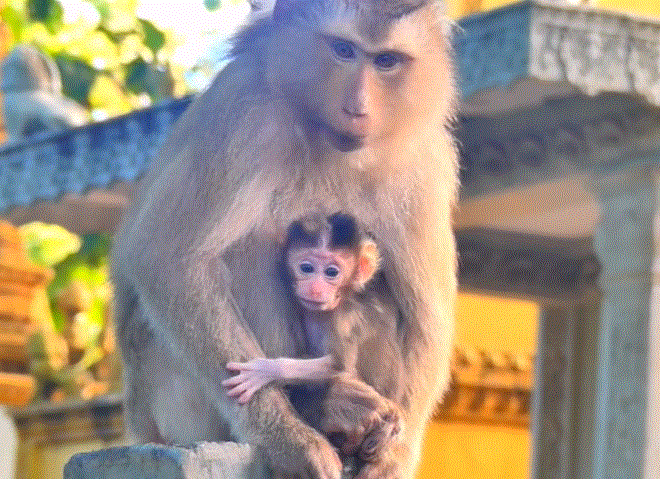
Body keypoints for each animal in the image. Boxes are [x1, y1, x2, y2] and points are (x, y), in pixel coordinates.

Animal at [222, 213, 404, 462]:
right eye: (307, 268)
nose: (316, 288)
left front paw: (266, 370)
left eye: (332, 272)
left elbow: (339, 364)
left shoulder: (343, 318)